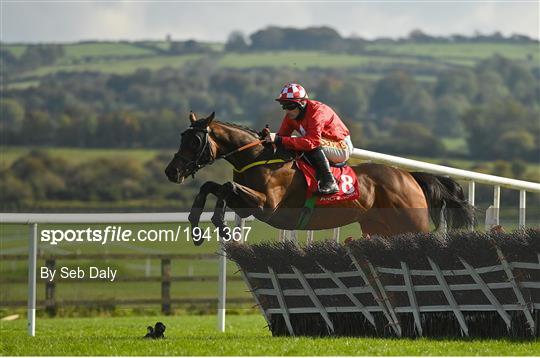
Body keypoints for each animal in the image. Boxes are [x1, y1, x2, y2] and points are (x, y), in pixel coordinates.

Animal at [165, 112, 472, 246]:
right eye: (181, 137)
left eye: (194, 141)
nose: (171, 172)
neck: (257, 157)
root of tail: (409, 176)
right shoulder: (246, 203)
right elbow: (211, 186)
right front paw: (196, 228)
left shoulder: (265, 205)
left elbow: (225, 187)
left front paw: (221, 225)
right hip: (380, 226)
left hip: (411, 223)